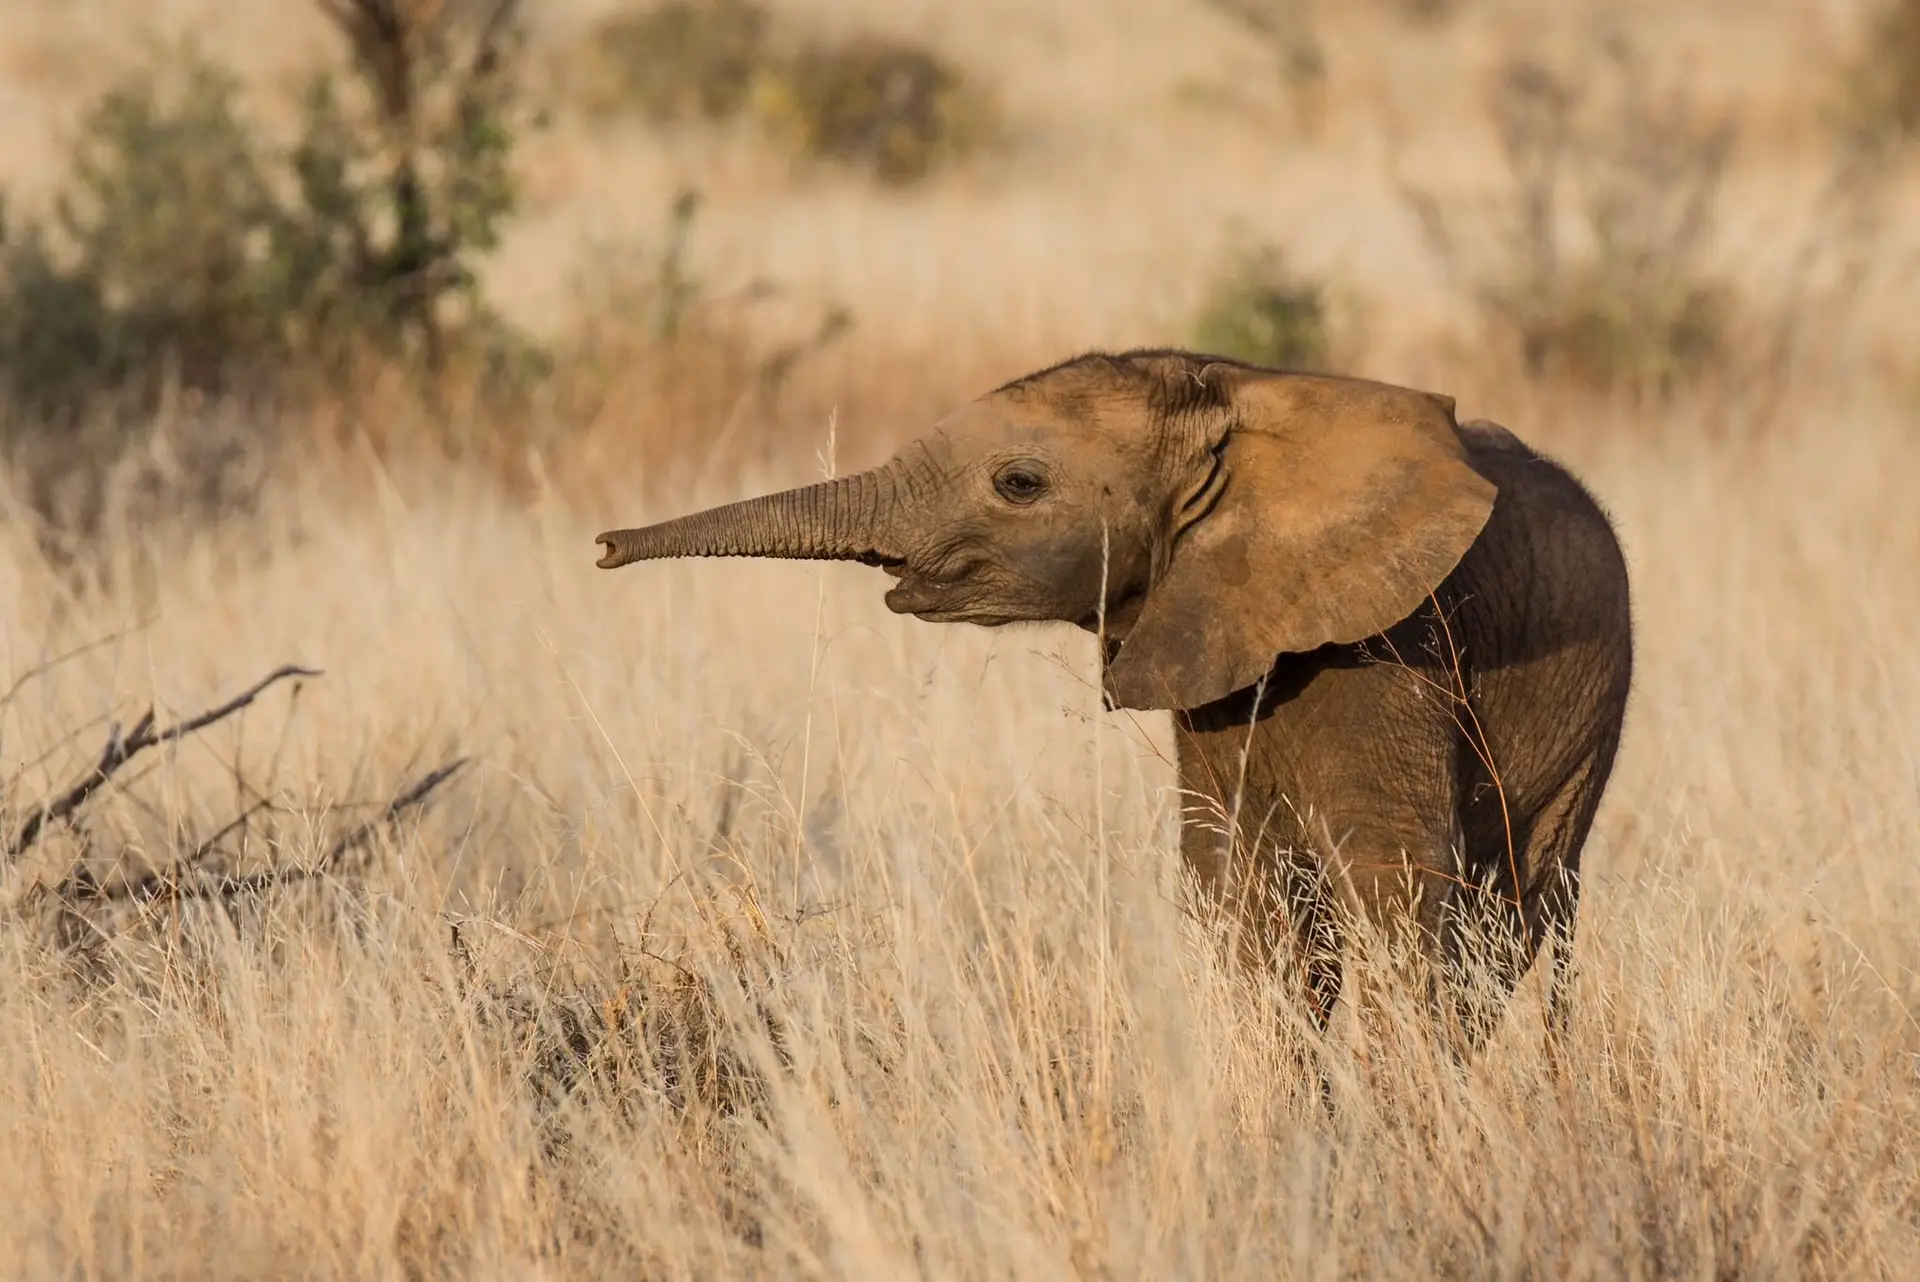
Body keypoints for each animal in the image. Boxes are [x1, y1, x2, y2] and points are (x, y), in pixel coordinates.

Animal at [599, 347, 1635, 1051]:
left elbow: (1393, 882)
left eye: (1019, 483)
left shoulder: (1393, 646)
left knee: (1513, 909)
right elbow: (1236, 888)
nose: (605, 547)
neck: (1236, 400)